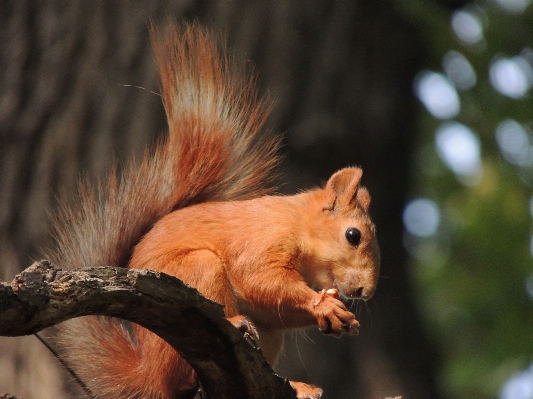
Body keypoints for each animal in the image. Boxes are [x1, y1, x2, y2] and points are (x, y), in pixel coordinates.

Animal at [48, 23, 378, 399]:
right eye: (353, 235)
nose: (366, 291)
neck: (296, 223)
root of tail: (151, 375)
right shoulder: (263, 239)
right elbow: (258, 278)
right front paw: (323, 304)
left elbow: (274, 308)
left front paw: (340, 318)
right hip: (197, 273)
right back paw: (232, 327)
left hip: (265, 335)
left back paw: (296, 386)